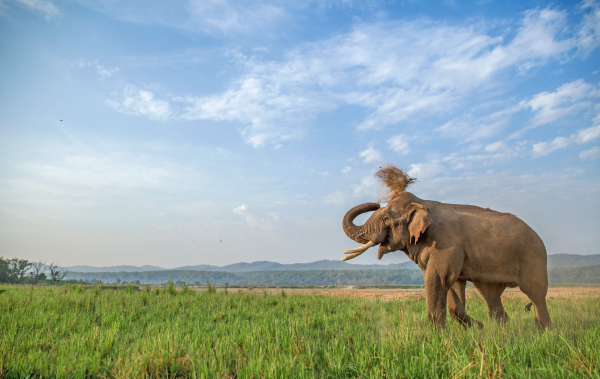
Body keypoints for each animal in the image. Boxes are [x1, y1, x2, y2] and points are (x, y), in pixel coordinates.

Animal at [342, 190, 552, 330]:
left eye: (386, 218)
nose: (376, 203)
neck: (422, 203)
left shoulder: (446, 244)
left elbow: (438, 280)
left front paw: (436, 336)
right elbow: (454, 285)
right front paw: (478, 327)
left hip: (534, 255)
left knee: (535, 292)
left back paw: (544, 331)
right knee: (490, 294)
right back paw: (502, 331)